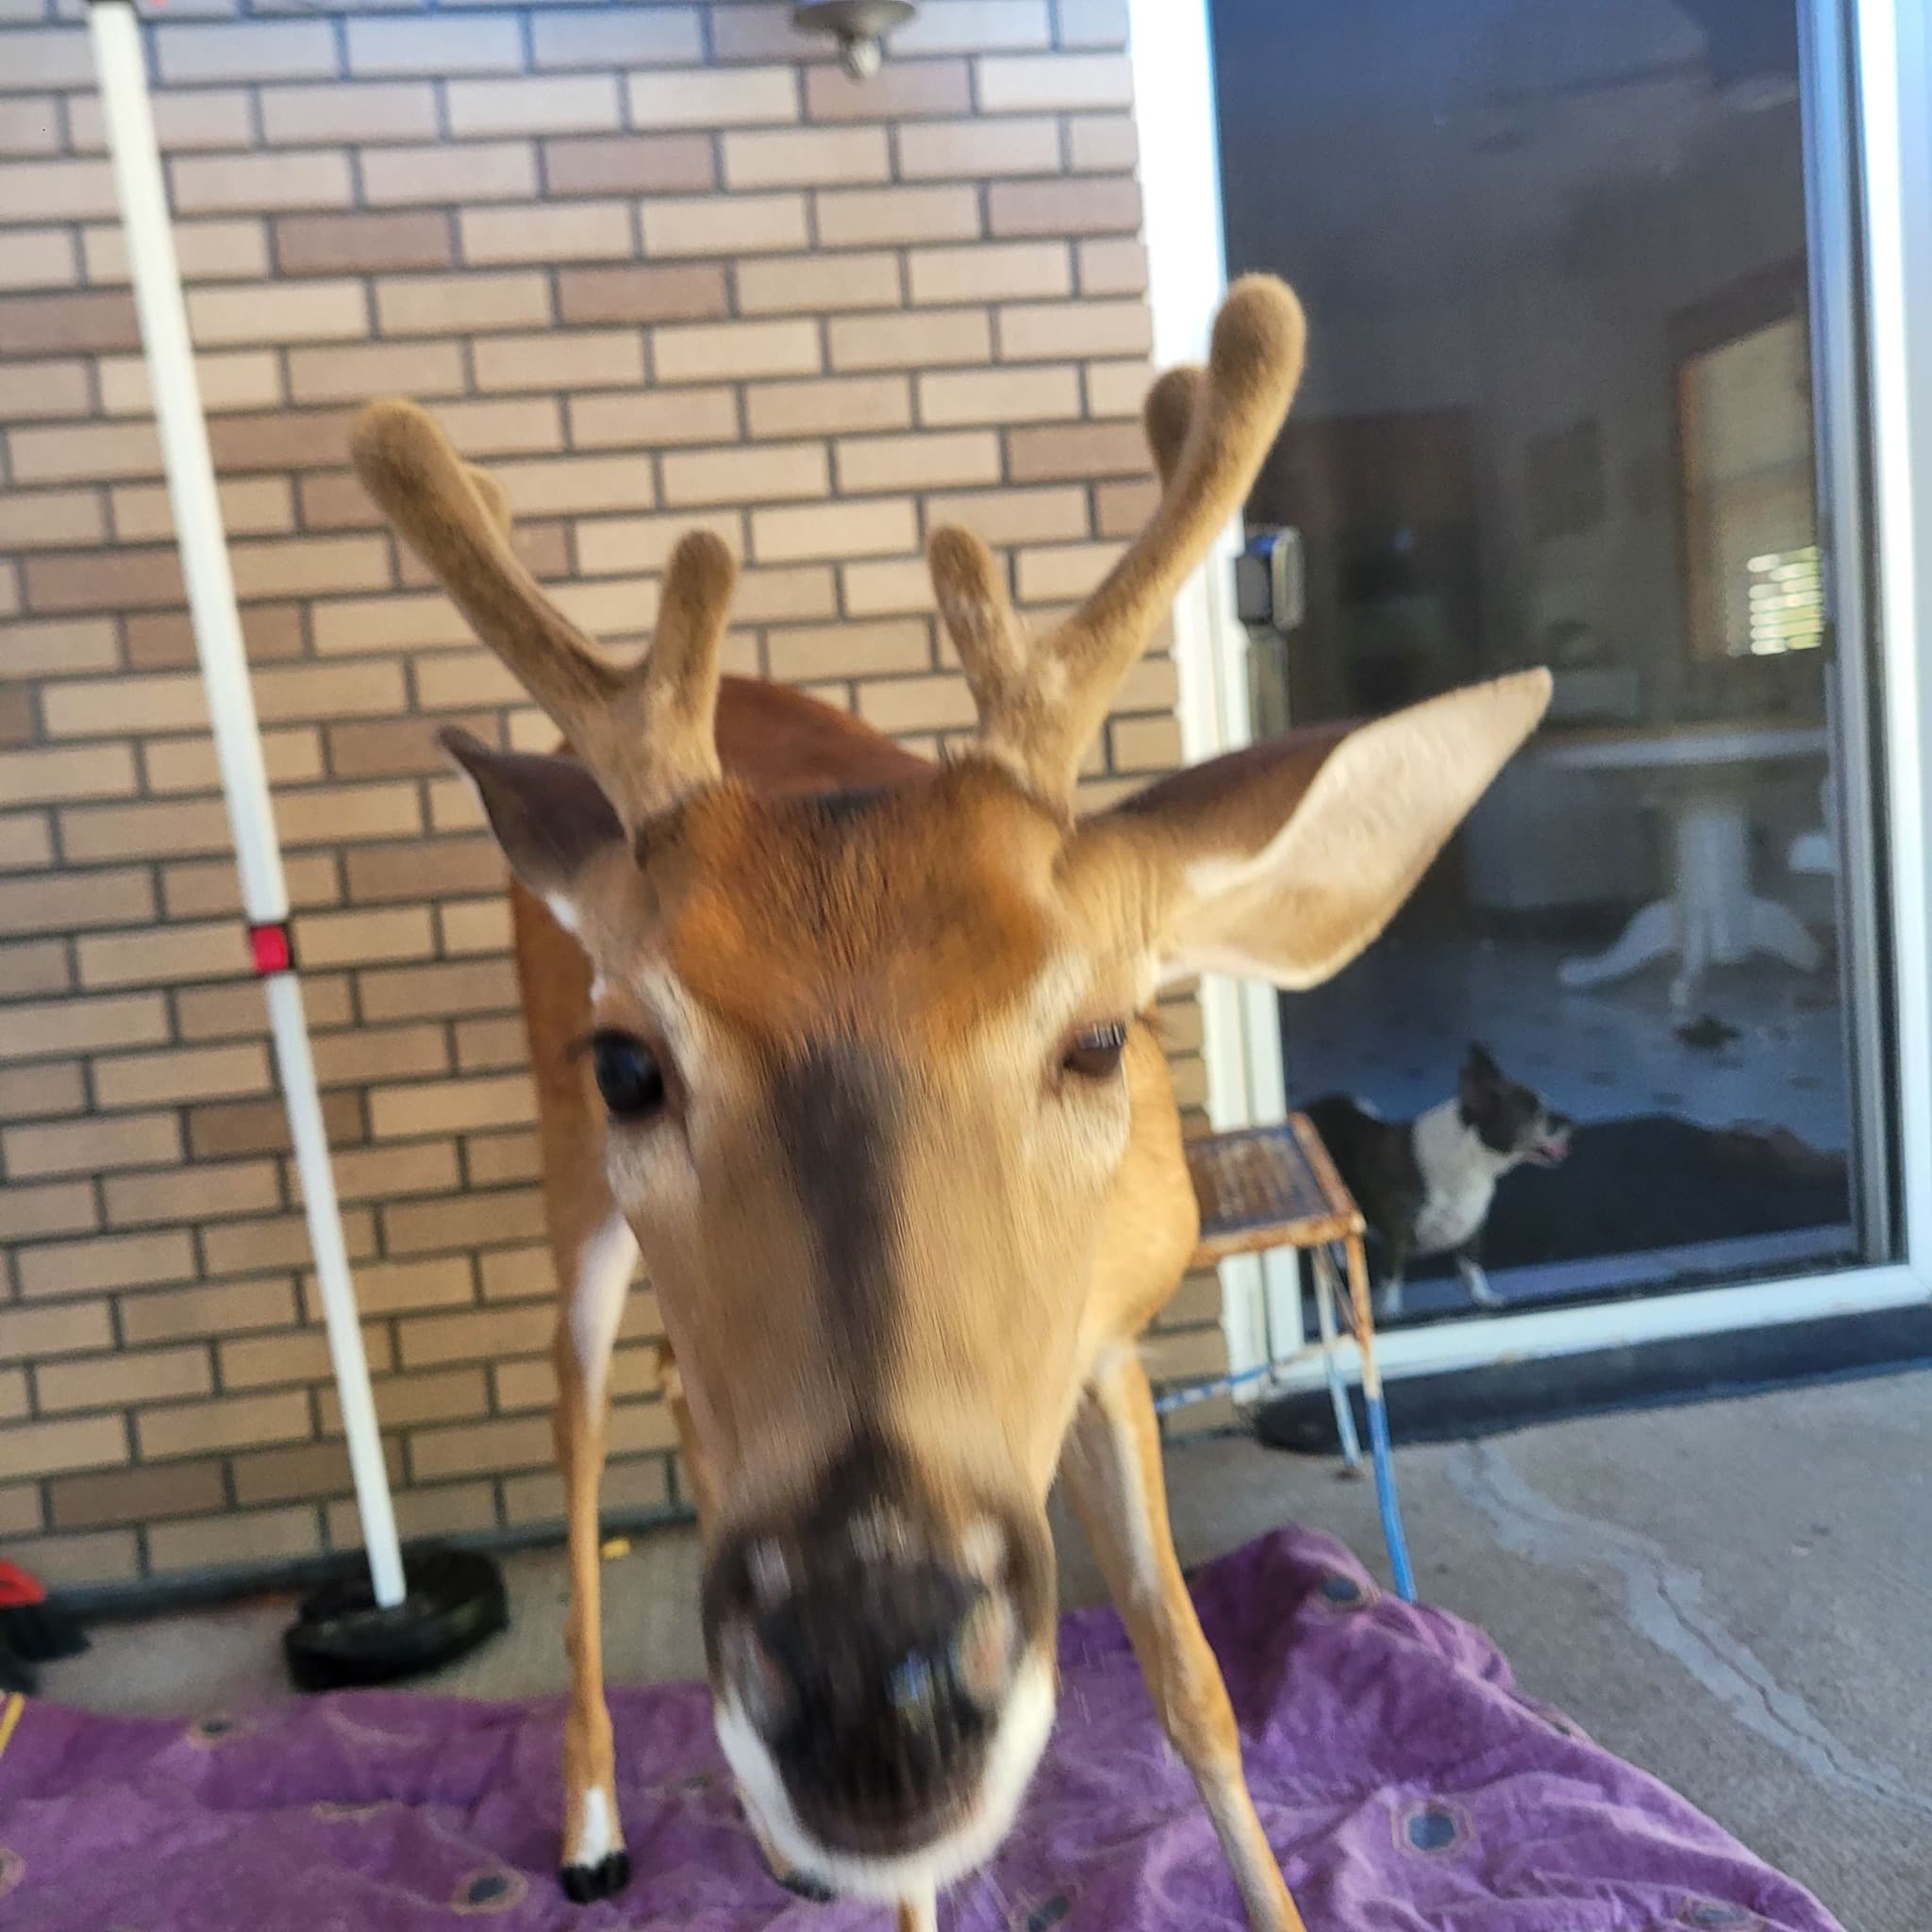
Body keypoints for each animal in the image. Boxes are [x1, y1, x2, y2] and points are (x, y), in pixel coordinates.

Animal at [349, 273, 1550, 1932]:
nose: (878, 1691)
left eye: (1099, 1041)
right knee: (582, 1417)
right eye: (631, 1062)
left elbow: (1195, 1684)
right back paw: (594, 1823)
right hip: (570, 1197)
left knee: (677, 1394)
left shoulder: (1112, 1336)